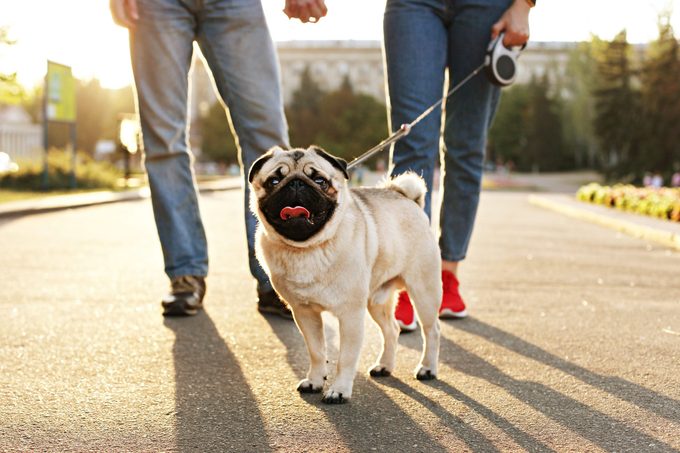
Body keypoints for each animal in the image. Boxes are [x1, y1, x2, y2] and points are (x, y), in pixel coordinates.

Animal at [250, 145, 440, 402]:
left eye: (320, 181)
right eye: (274, 181)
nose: (296, 184)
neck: (307, 249)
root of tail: (408, 198)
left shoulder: (350, 315)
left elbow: (346, 358)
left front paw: (339, 390)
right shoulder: (305, 313)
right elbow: (317, 351)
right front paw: (315, 380)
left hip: (424, 292)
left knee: (432, 331)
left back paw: (427, 368)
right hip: (376, 301)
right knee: (392, 330)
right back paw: (384, 365)